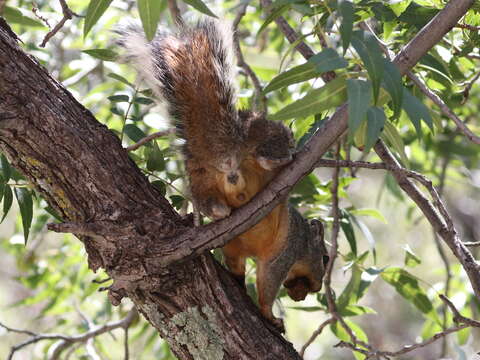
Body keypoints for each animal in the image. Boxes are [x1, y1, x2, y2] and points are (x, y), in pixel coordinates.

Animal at [115, 18, 330, 330]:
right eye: (325, 258)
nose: (314, 289)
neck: (302, 239)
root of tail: (227, 155)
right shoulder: (285, 251)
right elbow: (267, 284)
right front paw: (270, 316)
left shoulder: (234, 248)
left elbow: (238, 267)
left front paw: (239, 284)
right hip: (270, 136)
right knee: (269, 152)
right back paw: (282, 158)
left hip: (200, 180)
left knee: (208, 199)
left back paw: (217, 210)